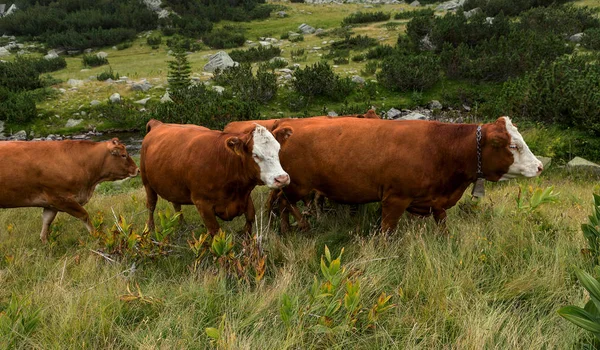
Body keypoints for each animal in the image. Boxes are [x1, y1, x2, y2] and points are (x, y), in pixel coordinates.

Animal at [0, 138, 139, 242]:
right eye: (123, 155)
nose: (137, 170)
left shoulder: (51, 204)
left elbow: (46, 222)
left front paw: (46, 244)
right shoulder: (61, 198)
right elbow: (84, 215)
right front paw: (95, 236)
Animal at [139, 119, 292, 235]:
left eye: (278, 149)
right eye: (256, 155)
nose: (282, 179)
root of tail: (158, 124)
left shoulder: (244, 197)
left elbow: (249, 220)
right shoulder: (202, 204)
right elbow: (216, 232)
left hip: (174, 186)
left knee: (176, 205)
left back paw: (182, 223)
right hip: (147, 183)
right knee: (151, 205)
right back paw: (150, 229)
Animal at [270, 116, 540, 234]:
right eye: (513, 145)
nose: (539, 166)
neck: (440, 148)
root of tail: (285, 126)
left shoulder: (436, 201)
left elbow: (442, 225)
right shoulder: (395, 199)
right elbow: (387, 231)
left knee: (279, 203)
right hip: (297, 185)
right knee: (282, 202)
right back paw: (296, 227)